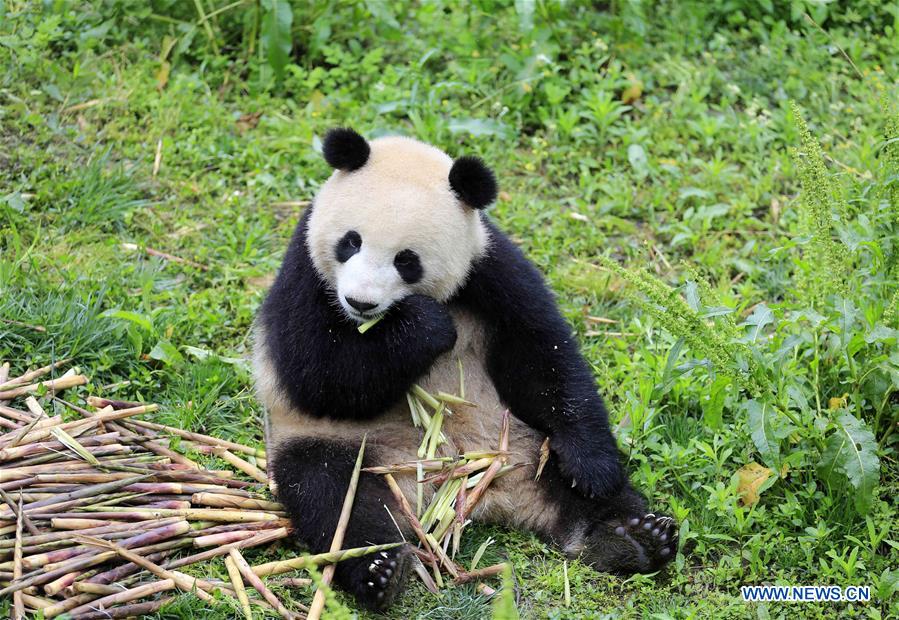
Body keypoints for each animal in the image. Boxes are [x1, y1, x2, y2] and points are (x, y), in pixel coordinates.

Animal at [253, 128, 678, 610]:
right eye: (350, 242)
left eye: (406, 260)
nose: (360, 302)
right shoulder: (305, 271)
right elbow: (315, 374)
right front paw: (425, 326)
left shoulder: (489, 267)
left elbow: (542, 356)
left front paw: (592, 469)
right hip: (336, 444)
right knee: (333, 497)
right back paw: (381, 569)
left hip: (521, 441)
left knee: (580, 491)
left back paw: (632, 538)